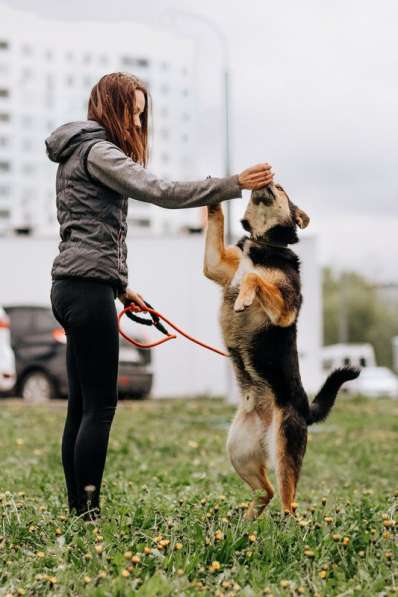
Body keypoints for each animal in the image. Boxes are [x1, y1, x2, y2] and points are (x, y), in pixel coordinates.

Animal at [204, 183, 360, 516]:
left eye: (279, 188)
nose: (265, 181)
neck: (264, 245)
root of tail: (304, 409)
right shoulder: (216, 265)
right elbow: (219, 235)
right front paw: (213, 200)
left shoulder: (285, 309)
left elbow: (254, 278)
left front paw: (244, 298)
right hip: (239, 450)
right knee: (267, 491)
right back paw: (248, 518)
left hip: (285, 450)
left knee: (288, 502)